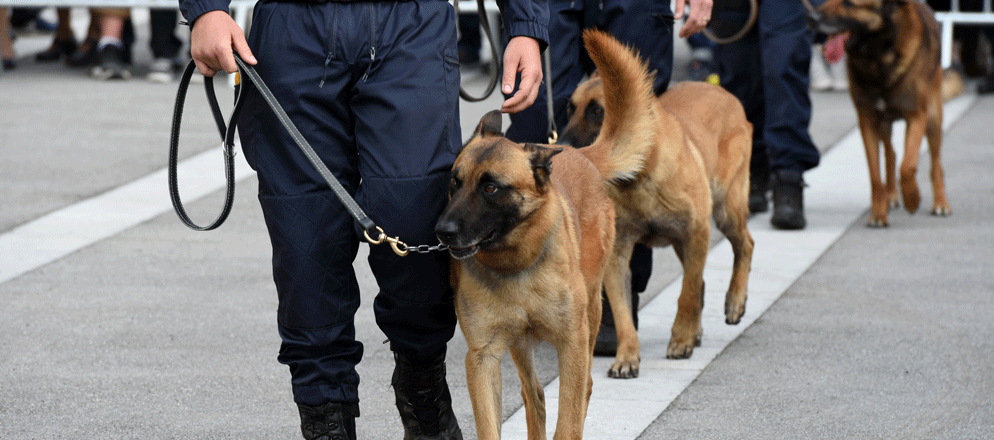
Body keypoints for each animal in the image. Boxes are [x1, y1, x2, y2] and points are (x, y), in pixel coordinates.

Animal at [434, 111, 612, 440]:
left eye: (490, 188)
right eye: (455, 182)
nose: (443, 232)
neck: (515, 265)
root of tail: (580, 154)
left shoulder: (572, 343)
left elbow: (568, 421)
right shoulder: (482, 358)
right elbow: (489, 426)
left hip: (592, 313)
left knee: (585, 388)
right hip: (519, 343)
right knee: (534, 393)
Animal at [572, 29, 752, 376]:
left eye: (598, 111)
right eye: (569, 108)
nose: (556, 147)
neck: (640, 176)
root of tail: (719, 89)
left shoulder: (697, 234)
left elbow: (686, 294)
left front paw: (680, 340)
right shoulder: (617, 255)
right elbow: (623, 312)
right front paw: (627, 356)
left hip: (725, 211)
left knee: (743, 246)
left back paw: (734, 302)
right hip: (686, 241)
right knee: (702, 281)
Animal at [812, 0, 952, 225]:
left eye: (849, 3)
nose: (811, 17)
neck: (878, 57)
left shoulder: (917, 116)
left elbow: (908, 166)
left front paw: (912, 198)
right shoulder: (867, 120)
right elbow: (875, 174)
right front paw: (878, 213)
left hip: (932, 119)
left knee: (935, 163)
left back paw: (940, 203)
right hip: (884, 124)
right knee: (891, 153)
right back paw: (891, 195)